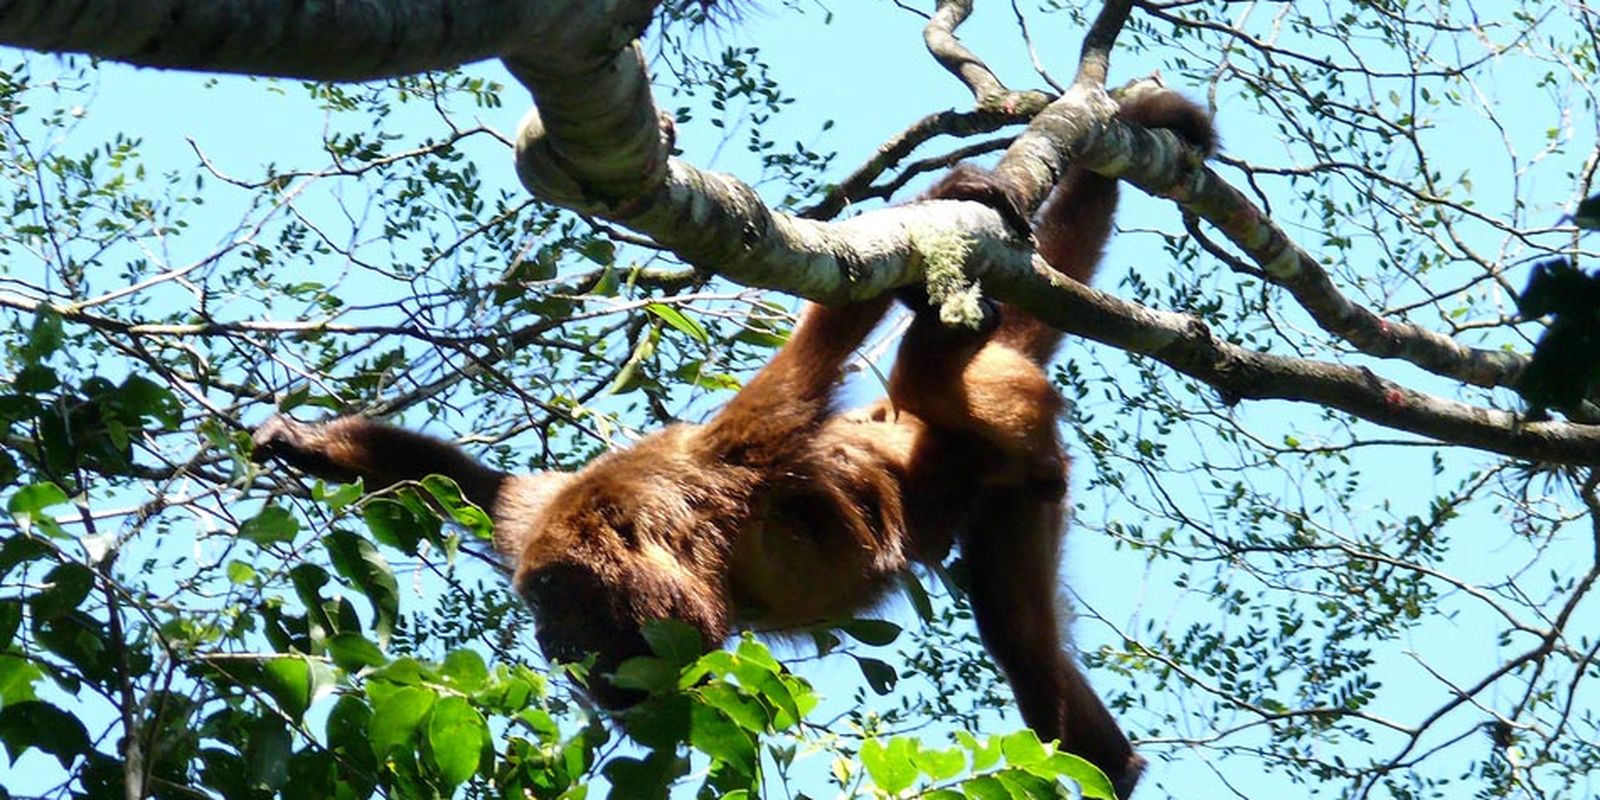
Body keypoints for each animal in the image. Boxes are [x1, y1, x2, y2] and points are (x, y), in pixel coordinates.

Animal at [252, 89, 1209, 800]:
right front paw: (302, 441)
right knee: (1017, 632)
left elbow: (827, 331)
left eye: (562, 600)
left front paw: (946, 205)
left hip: (1002, 414)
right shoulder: (550, 514)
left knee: (927, 386)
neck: (686, 526)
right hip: (1013, 484)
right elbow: (477, 487)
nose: (550, 644)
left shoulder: (746, 444)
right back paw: (1113, 764)